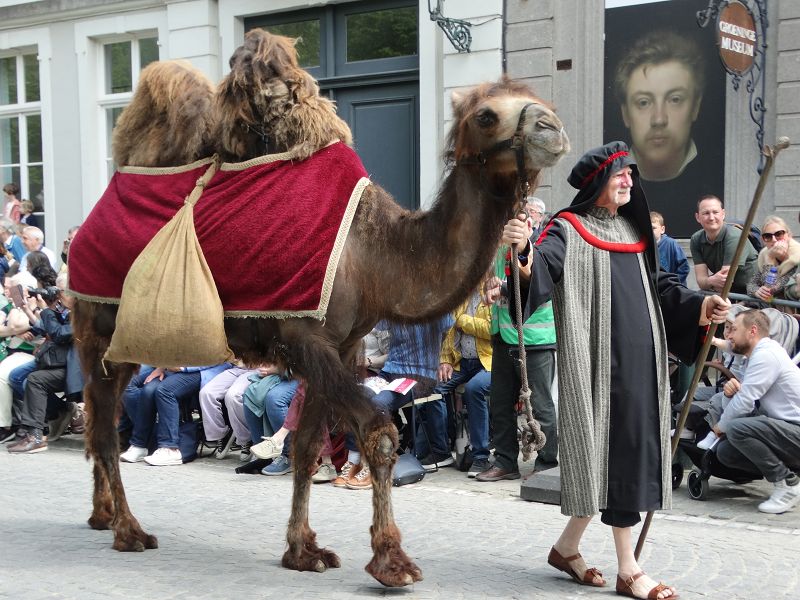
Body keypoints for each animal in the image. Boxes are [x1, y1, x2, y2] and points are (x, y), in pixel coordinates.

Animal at [70, 30, 569, 587]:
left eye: (542, 102)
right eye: (486, 115)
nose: (552, 128)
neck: (373, 256)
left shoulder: (343, 345)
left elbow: (308, 446)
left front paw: (303, 549)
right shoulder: (305, 337)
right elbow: (378, 434)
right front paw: (392, 561)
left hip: (124, 343)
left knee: (100, 416)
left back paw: (102, 514)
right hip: (97, 329)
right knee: (103, 425)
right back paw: (128, 530)